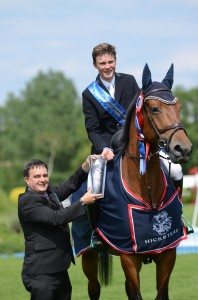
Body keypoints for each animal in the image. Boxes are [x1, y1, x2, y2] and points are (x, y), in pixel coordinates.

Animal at [71, 63, 192, 300]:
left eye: (179, 107)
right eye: (154, 109)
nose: (183, 149)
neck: (148, 193)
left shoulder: (167, 253)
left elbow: (161, 293)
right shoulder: (129, 256)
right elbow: (136, 293)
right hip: (88, 256)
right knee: (93, 288)